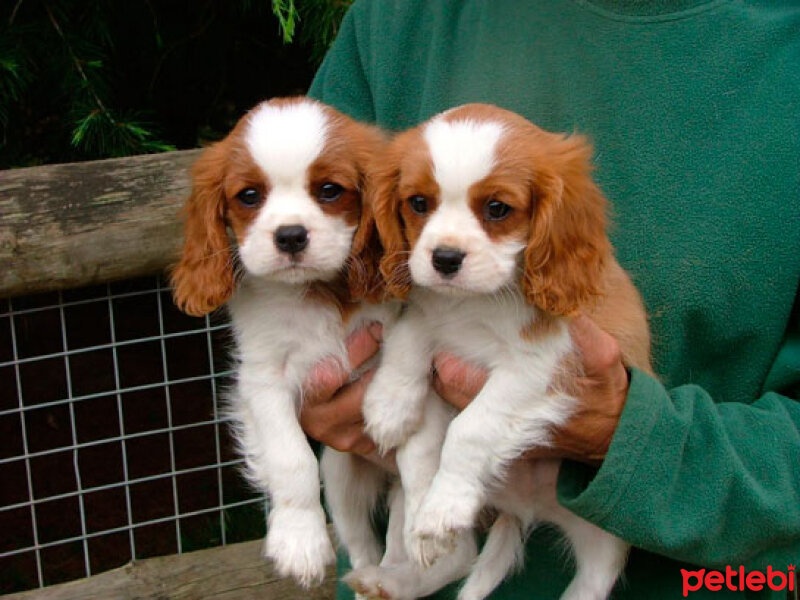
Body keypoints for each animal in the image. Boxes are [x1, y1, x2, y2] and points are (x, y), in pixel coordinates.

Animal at [172, 97, 404, 584]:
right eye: (249, 196)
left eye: (330, 190)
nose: (290, 235)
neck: (311, 291)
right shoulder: (263, 380)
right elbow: (291, 458)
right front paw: (300, 541)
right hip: (341, 474)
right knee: (362, 544)